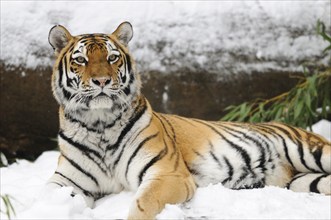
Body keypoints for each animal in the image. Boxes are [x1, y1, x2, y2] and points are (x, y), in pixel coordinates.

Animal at [47, 21, 331, 220]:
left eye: (112, 57)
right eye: (81, 60)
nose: (102, 81)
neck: (99, 124)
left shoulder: (167, 173)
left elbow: (143, 203)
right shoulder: (68, 182)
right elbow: (47, 197)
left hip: (309, 151)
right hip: (302, 181)